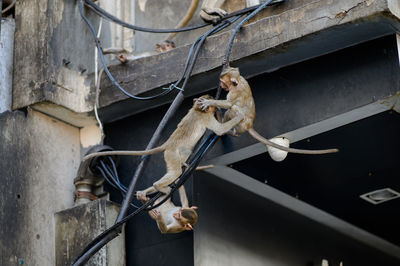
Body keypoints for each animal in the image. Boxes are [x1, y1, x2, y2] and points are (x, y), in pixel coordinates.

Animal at [83, 95, 244, 193]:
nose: (214, 104)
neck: (198, 110)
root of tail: (167, 144)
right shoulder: (206, 118)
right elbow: (219, 130)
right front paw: (238, 116)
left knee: (184, 155)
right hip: (171, 154)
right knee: (176, 171)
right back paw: (158, 186)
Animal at [195, 66, 340, 155]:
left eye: (223, 82)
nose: (221, 85)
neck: (237, 83)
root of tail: (249, 125)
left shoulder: (234, 93)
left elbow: (229, 104)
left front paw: (209, 102)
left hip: (241, 122)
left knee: (232, 110)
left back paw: (224, 127)